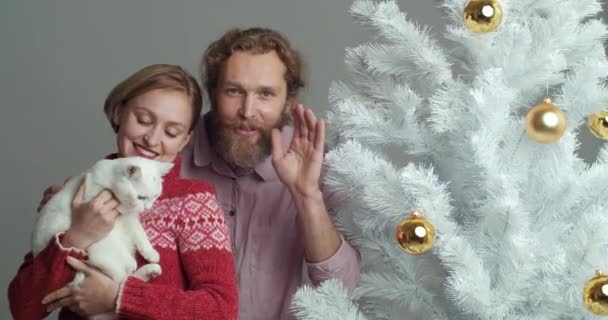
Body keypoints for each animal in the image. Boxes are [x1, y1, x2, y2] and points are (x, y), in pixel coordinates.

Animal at [32, 156, 172, 318]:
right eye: (141, 197)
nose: (147, 208)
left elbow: (140, 233)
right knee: (120, 279)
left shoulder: (130, 219)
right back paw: (140, 269)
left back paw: (151, 270)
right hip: (99, 250)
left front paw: (150, 253)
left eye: (155, 196)